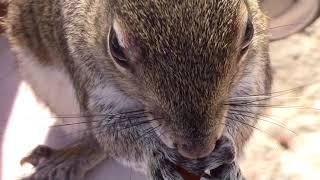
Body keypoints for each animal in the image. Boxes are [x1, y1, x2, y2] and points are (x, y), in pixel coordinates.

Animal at [3, 0, 272, 179]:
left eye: (248, 32)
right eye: (116, 47)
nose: (197, 149)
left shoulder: (253, 75)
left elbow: (247, 107)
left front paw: (229, 156)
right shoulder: (90, 78)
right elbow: (112, 132)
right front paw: (157, 157)